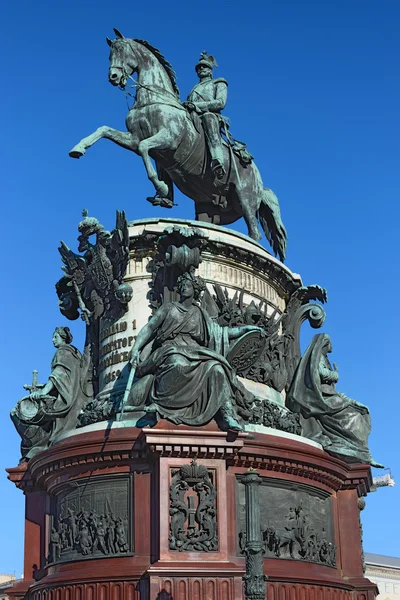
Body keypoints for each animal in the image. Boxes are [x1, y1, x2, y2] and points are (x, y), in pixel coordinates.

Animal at [69, 29, 288, 260]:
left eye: (122, 51)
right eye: (110, 54)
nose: (113, 77)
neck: (153, 98)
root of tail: (260, 181)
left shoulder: (169, 139)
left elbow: (145, 148)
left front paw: (162, 187)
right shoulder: (132, 138)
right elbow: (105, 130)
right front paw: (78, 148)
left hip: (245, 199)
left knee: (255, 234)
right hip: (207, 206)